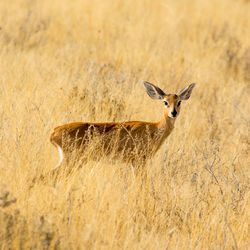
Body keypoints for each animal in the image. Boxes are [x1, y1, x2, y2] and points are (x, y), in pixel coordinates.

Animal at [50, 81, 195, 169]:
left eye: (179, 101)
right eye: (165, 102)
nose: (173, 112)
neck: (154, 128)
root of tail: (53, 133)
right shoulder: (139, 161)